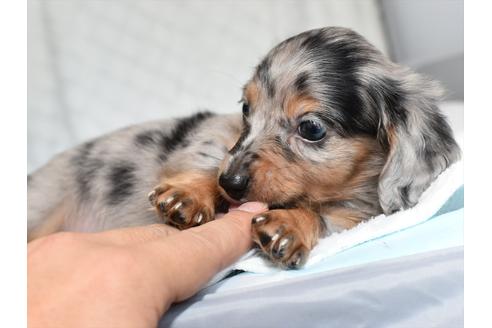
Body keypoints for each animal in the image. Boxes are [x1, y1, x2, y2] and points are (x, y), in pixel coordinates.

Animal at [26, 26, 460, 270]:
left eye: (311, 128)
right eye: (246, 109)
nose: (231, 183)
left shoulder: (357, 212)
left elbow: (325, 217)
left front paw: (290, 224)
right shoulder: (212, 138)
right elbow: (209, 156)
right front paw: (190, 195)